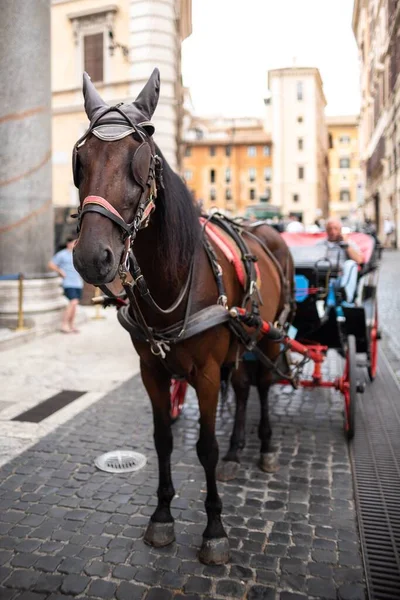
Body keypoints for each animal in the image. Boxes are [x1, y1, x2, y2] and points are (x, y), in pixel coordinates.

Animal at [73, 68, 294, 564]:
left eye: (141, 161)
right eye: (82, 159)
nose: (92, 257)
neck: (172, 277)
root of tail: (268, 231)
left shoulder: (207, 372)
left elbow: (204, 447)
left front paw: (214, 528)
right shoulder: (152, 370)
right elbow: (164, 440)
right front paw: (161, 515)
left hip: (269, 335)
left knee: (263, 386)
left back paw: (265, 446)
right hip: (239, 341)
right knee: (244, 387)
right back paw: (237, 452)